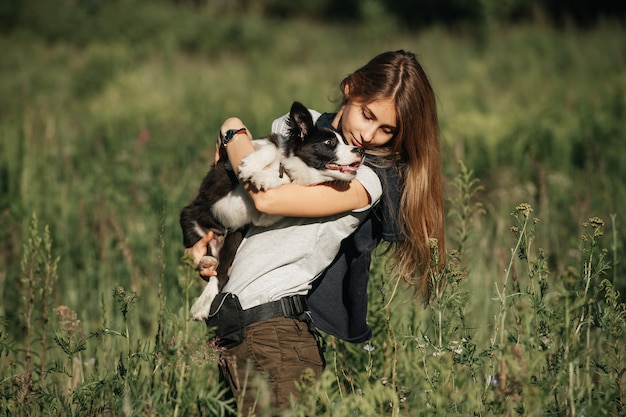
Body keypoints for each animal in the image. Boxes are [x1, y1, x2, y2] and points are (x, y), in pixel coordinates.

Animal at [178, 102, 364, 320]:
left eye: (345, 142)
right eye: (329, 142)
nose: (360, 150)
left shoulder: (265, 214)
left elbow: (283, 181)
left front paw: (266, 177)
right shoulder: (241, 154)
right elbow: (269, 147)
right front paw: (250, 166)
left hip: (234, 237)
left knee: (221, 270)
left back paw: (205, 299)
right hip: (190, 217)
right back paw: (205, 272)